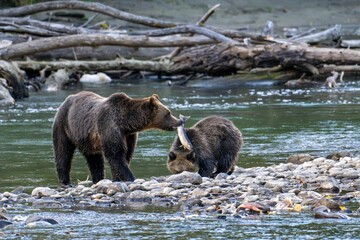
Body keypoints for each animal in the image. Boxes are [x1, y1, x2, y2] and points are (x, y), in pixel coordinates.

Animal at [52, 91, 181, 187]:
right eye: (168, 113)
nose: (179, 121)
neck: (126, 123)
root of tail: (65, 100)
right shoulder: (109, 125)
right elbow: (115, 155)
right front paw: (131, 178)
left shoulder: (129, 135)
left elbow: (125, 154)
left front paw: (116, 179)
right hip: (63, 126)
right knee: (63, 153)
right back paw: (65, 181)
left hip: (88, 141)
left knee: (94, 159)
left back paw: (98, 179)